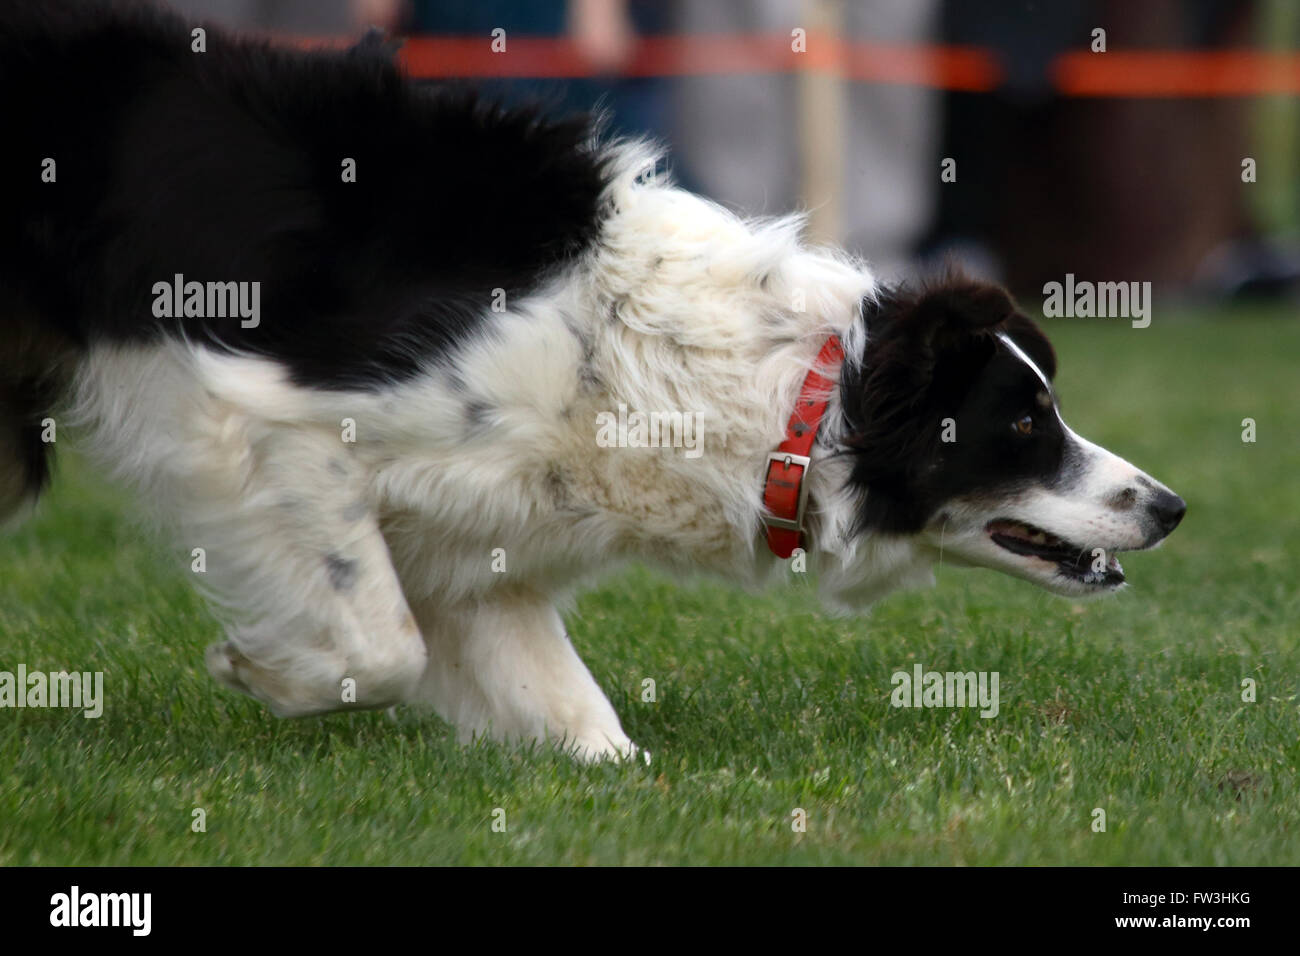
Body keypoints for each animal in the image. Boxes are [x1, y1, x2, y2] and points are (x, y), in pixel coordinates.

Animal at [0, 3, 1185, 759]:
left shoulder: (477, 542)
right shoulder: (267, 424)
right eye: (1023, 423)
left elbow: (578, 715)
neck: (786, 396)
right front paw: (257, 671)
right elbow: (383, 646)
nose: (1170, 506)